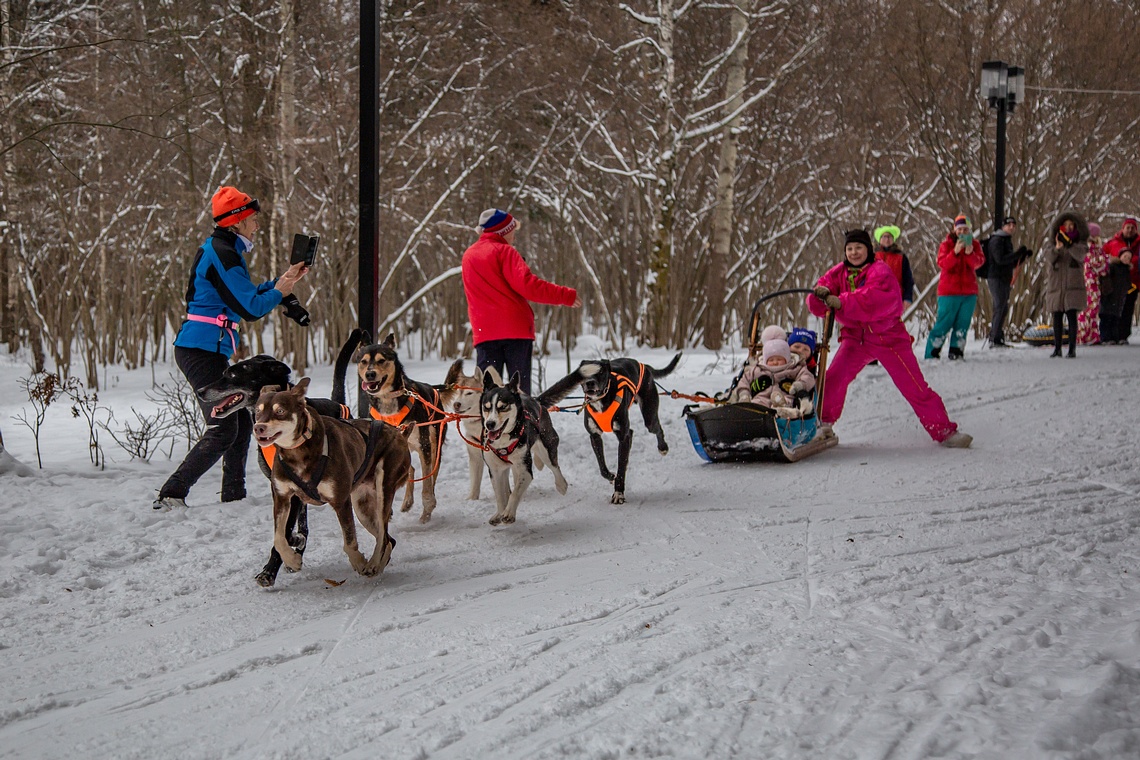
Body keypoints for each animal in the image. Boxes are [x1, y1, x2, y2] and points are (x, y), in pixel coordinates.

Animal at [253, 380, 410, 583]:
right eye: (257, 411)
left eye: (280, 410)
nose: (259, 427)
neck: (297, 451)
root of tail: (399, 433)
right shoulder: (282, 498)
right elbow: (279, 537)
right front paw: (292, 560)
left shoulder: (341, 501)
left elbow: (349, 541)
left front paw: (358, 562)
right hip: (363, 508)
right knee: (389, 540)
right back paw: (377, 567)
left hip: (383, 489)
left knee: (383, 536)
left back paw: (372, 563)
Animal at [353, 334, 446, 524]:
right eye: (363, 361)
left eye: (381, 360)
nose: (370, 374)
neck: (389, 404)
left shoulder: (424, 446)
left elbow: (427, 484)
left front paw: (427, 509)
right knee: (411, 469)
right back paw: (407, 501)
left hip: (434, 446)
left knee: (431, 475)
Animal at [476, 371, 565, 526]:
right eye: (486, 407)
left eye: (503, 406)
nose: (489, 424)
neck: (503, 442)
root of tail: (536, 400)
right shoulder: (495, 470)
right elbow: (500, 495)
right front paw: (500, 512)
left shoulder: (525, 469)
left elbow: (516, 493)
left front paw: (509, 513)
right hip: (507, 466)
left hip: (547, 447)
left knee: (554, 467)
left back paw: (562, 485)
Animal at [538, 355, 679, 508]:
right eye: (585, 373)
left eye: (600, 372)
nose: (590, 383)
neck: (601, 400)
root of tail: (642, 364)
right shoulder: (594, 436)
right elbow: (602, 467)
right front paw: (611, 476)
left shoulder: (623, 436)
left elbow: (621, 467)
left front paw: (618, 494)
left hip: (649, 415)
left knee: (657, 428)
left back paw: (663, 447)